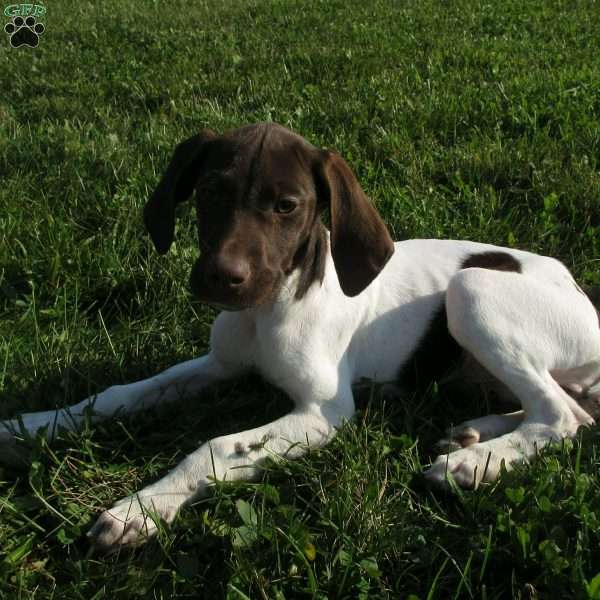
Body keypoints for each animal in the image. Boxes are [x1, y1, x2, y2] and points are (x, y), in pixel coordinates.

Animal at [2, 124, 596, 552]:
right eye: (211, 192)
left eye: (287, 206)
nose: (221, 278)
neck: (267, 309)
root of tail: (576, 288)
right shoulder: (219, 365)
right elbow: (117, 395)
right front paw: (31, 425)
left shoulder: (322, 412)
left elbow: (216, 445)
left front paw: (140, 508)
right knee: (573, 409)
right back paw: (473, 433)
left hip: (471, 289)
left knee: (560, 416)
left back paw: (471, 465)